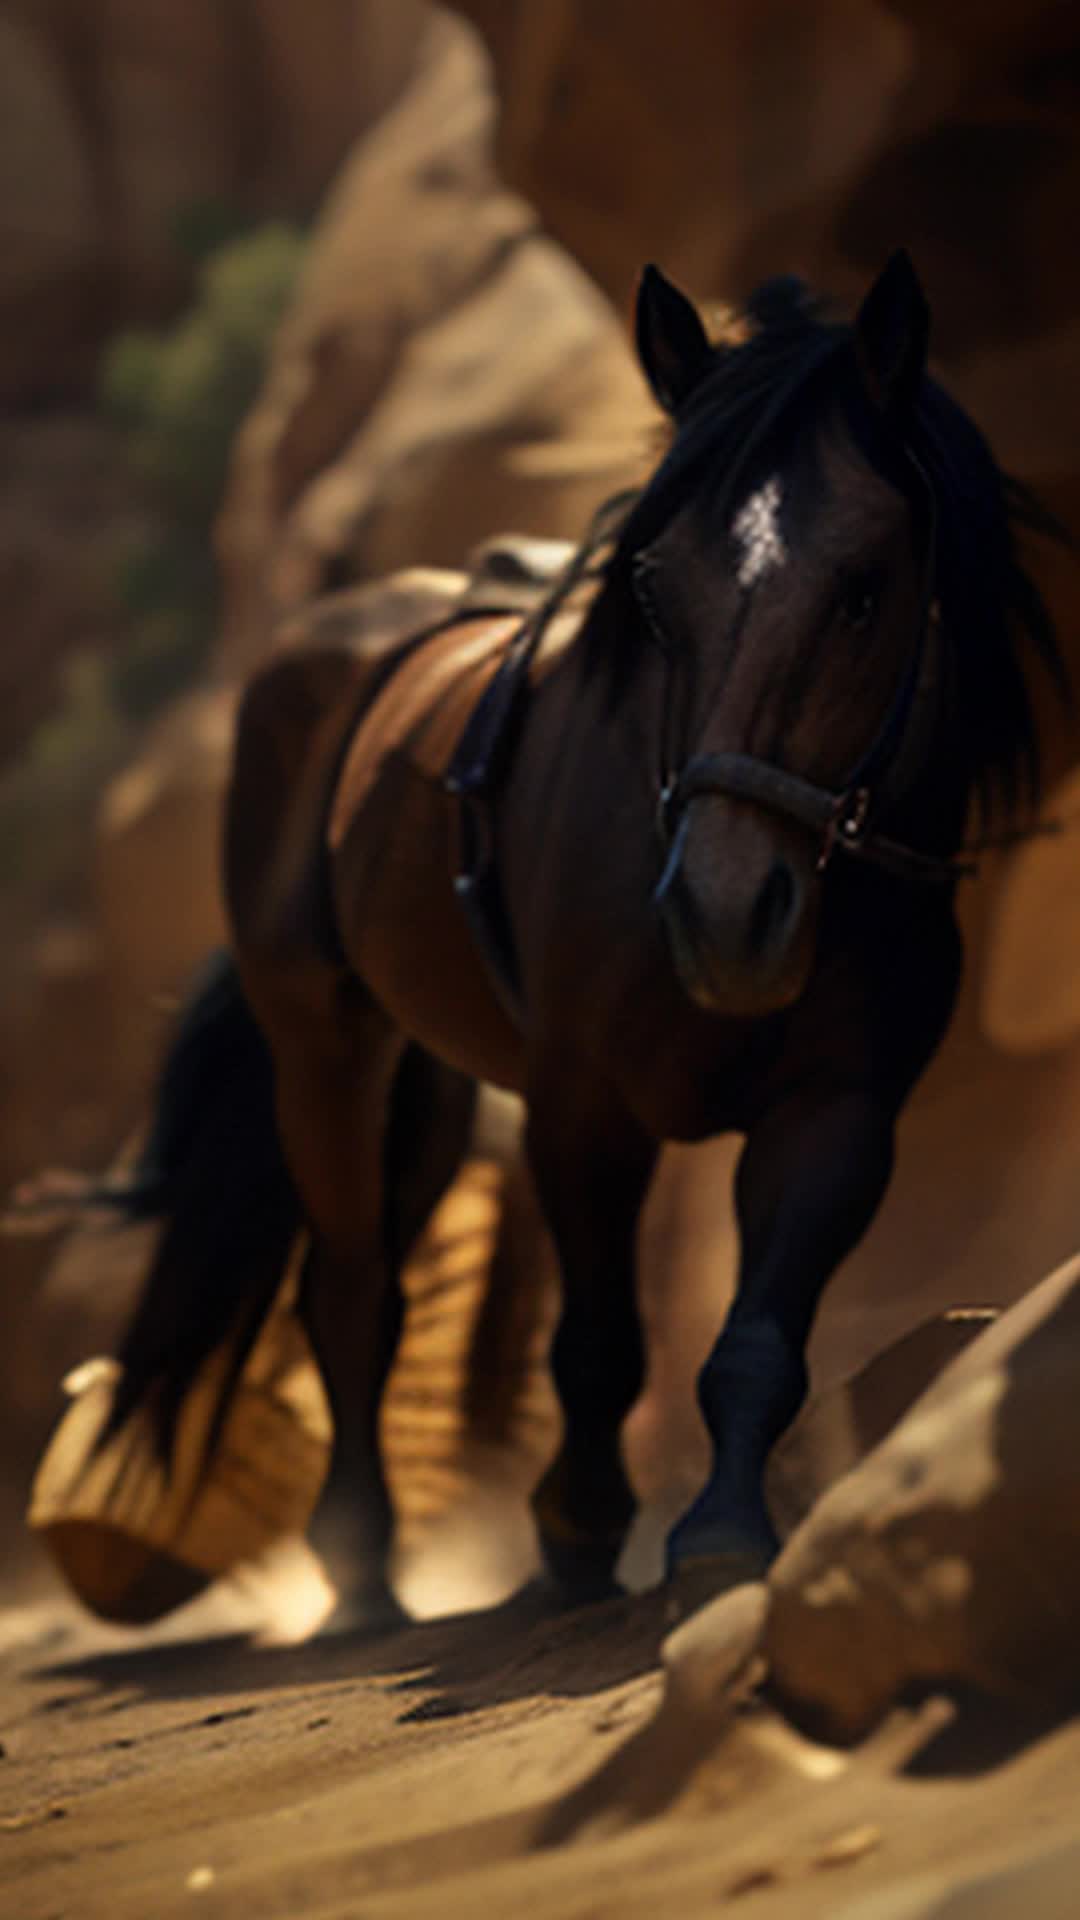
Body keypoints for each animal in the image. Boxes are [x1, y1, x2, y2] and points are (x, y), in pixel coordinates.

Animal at [90, 247, 1060, 1612]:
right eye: (655, 591)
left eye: (867, 589)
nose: (722, 915)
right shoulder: (582, 1107)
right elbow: (598, 1342)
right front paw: (578, 1530)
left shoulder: (838, 1108)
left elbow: (761, 1333)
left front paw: (721, 1533)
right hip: (324, 1050)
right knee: (350, 1286)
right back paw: (362, 1570)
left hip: (428, 1079)